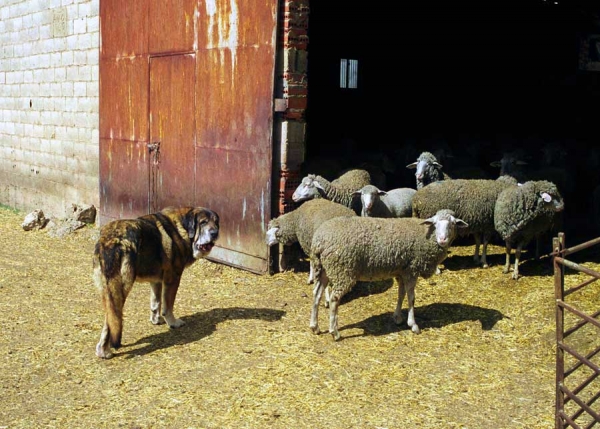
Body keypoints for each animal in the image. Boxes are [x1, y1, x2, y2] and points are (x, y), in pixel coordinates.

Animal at [91, 206, 218, 358]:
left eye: (216, 222)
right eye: (203, 222)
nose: (215, 233)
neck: (181, 228)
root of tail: (111, 240)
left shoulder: (156, 281)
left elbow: (156, 302)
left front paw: (156, 320)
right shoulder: (172, 279)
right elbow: (168, 305)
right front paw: (172, 322)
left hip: (107, 290)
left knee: (110, 318)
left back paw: (102, 350)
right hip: (121, 289)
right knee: (111, 320)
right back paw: (105, 350)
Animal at [310, 209, 468, 340]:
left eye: (453, 224)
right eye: (435, 224)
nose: (442, 240)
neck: (427, 236)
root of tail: (319, 240)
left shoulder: (401, 271)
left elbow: (401, 294)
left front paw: (397, 318)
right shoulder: (412, 269)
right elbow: (411, 298)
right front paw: (413, 325)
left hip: (324, 269)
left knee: (316, 294)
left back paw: (314, 327)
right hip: (342, 270)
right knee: (334, 299)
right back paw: (334, 332)